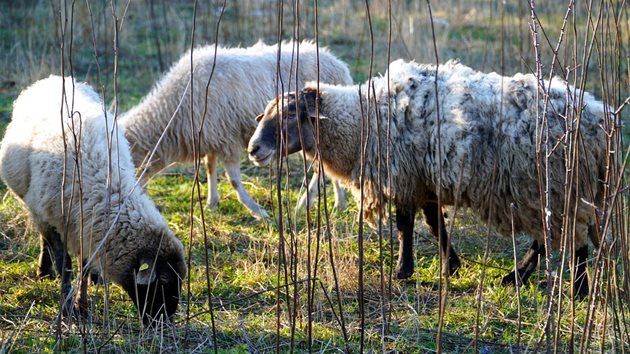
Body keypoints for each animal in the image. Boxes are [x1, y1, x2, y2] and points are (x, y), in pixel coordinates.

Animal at [0, 75, 188, 324]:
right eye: (164, 280)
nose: (163, 322)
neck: (106, 185)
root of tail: (54, 78)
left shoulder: (85, 227)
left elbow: (85, 265)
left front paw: (82, 303)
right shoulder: (57, 218)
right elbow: (65, 264)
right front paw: (68, 307)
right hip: (36, 208)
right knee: (44, 239)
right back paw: (44, 270)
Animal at [120, 39, 354, 218]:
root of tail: (337, 63)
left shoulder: (227, 139)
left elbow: (233, 181)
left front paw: (258, 211)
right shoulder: (211, 136)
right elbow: (210, 167)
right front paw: (212, 202)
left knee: (320, 168)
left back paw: (305, 202)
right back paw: (339, 202)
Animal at [248, 59, 612, 298]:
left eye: (291, 114)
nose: (254, 149)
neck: (364, 120)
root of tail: (597, 117)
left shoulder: (404, 175)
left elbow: (405, 224)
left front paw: (403, 270)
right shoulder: (425, 178)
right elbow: (435, 223)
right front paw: (451, 264)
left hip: (554, 184)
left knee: (572, 234)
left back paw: (576, 288)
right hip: (549, 189)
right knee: (548, 235)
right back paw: (517, 277)